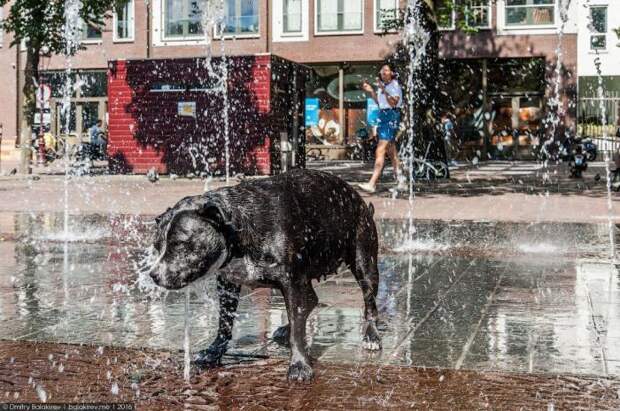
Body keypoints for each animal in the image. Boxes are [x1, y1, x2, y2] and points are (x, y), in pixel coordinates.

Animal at [148, 169, 380, 382]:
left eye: (180, 244)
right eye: (157, 245)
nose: (153, 275)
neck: (238, 229)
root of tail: (358, 199)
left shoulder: (291, 282)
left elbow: (297, 328)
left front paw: (299, 364)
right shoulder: (227, 282)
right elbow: (225, 321)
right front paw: (214, 351)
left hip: (364, 263)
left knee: (369, 303)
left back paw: (372, 336)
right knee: (311, 299)